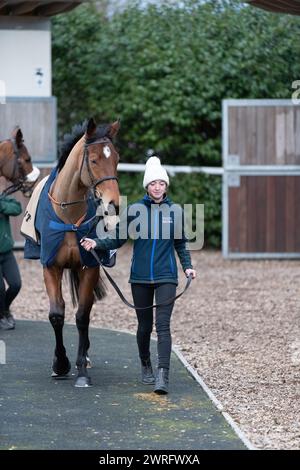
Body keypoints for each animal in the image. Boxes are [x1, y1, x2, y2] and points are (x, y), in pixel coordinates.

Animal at [41, 116, 120, 386]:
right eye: (94, 160)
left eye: (116, 158)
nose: (113, 203)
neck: (68, 217)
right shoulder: (50, 266)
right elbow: (57, 314)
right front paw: (60, 364)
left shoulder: (90, 265)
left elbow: (83, 316)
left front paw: (81, 369)